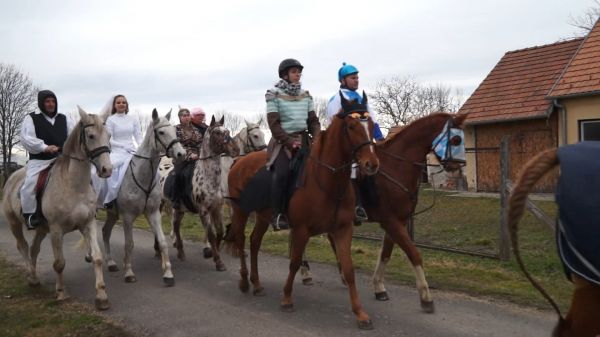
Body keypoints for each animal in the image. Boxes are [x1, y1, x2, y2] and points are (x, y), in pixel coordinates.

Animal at [1, 108, 112, 310]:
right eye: (91, 136)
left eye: (109, 135)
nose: (107, 170)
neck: (74, 185)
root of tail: (12, 177)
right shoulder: (56, 230)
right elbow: (59, 263)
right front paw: (61, 293)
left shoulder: (88, 224)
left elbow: (97, 257)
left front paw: (101, 296)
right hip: (15, 223)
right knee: (23, 246)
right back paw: (32, 277)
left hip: (42, 229)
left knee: (34, 249)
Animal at [225, 93, 380, 330]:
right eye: (352, 126)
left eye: (370, 124)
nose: (371, 164)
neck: (326, 180)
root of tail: (239, 161)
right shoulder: (301, 230)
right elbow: (295, 262)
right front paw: (287, 299)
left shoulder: (343, 229)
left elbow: (349, 268)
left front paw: (360, 314)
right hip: (241, 211)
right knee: (241, 240)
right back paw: (244, 281)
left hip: (262, 216)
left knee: (254, 242)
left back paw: (257, 284)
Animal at [330, 111, 466, 312]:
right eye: (456, 140)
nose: (457, 167)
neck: (396, 166)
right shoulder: (391, 222)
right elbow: (414, 254)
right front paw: (426, 297)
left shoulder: (397, 221)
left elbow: (386, 254)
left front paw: (379, 288)